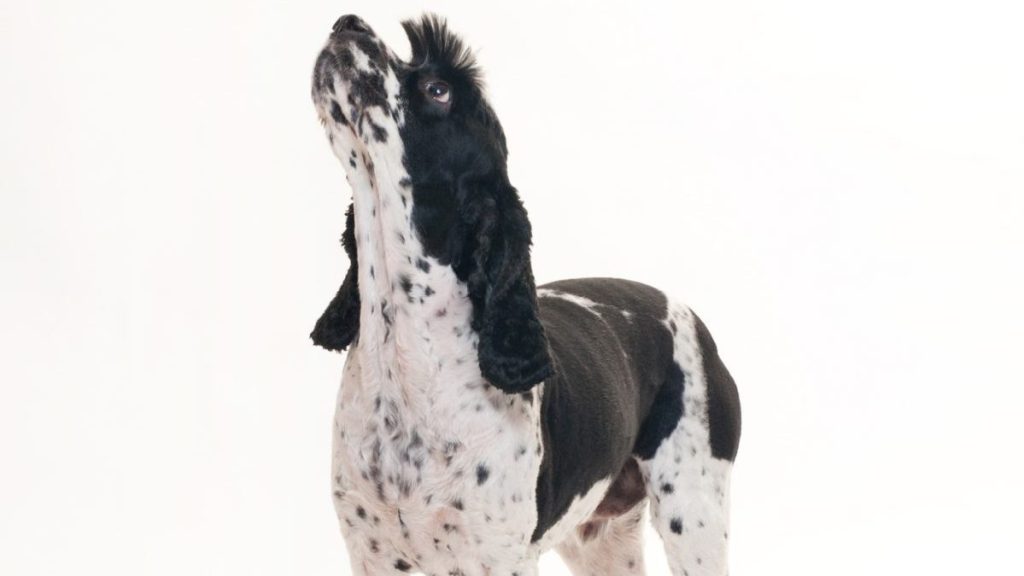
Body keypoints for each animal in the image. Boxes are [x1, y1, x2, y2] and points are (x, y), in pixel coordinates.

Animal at [307, 14, 741, 573]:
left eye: (438, 90)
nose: (349, 22)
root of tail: (693, 319)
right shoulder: (372, 552)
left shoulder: (499, 556)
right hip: (602, 538)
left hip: (694, 510)